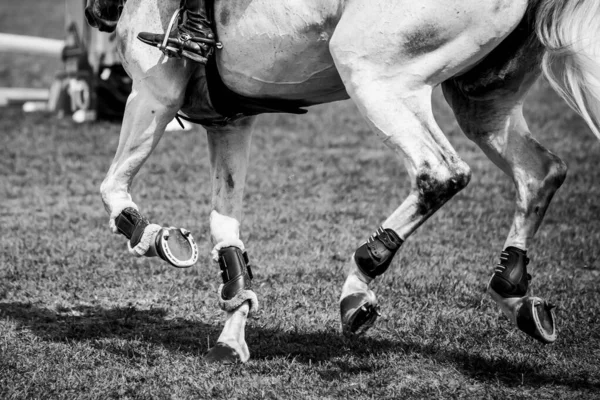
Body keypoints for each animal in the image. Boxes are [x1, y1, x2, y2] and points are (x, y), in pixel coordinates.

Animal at [84, 0, 600, 362]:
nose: (96, 15)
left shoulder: (153, 93)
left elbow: (111, 189)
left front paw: (153, 236)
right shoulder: (230, 121)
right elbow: (225, 229)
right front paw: (233, 332)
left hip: (371, 71)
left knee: (439, 173)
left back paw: (359, 281)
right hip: (482, 100)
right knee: (540, 172)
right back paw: (514, 293)